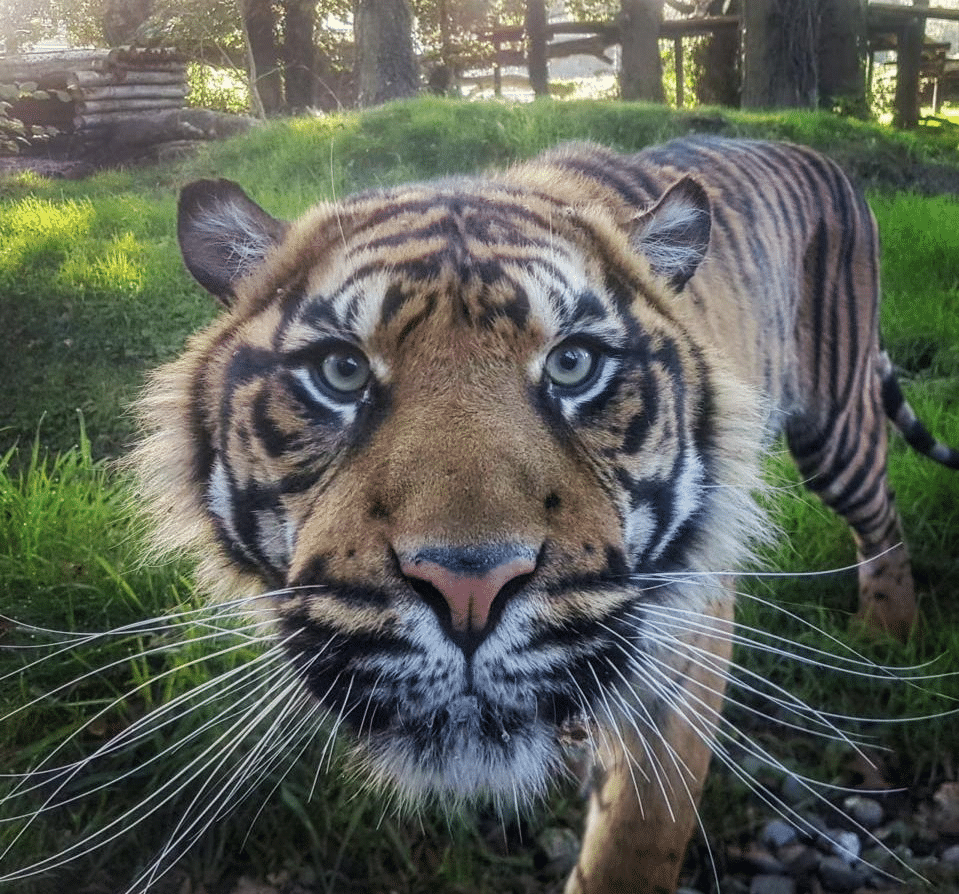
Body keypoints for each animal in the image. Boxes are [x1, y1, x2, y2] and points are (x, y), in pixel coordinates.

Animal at [127, 138, 959, 894]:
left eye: (573, 363)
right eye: (340, 371)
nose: (467, 590)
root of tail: (814, 152)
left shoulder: (681, 662)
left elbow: (630, 849)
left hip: (835, 427)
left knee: (881, 522)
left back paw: (889, 634)